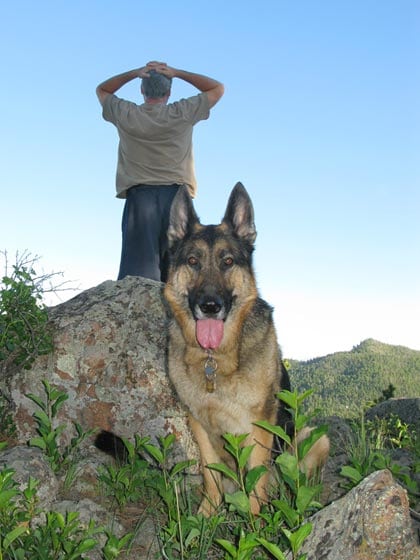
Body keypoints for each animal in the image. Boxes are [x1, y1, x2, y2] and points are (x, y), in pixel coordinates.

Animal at [164, 184, 328, 516]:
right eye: (192, 261)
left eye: (228, 261)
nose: (210, 306)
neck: (214, 360)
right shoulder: (198, 423)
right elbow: (211, 473)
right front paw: (206, 516)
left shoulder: (260, 425)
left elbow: (257, 476)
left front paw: (254, 521)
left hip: (313, 439)